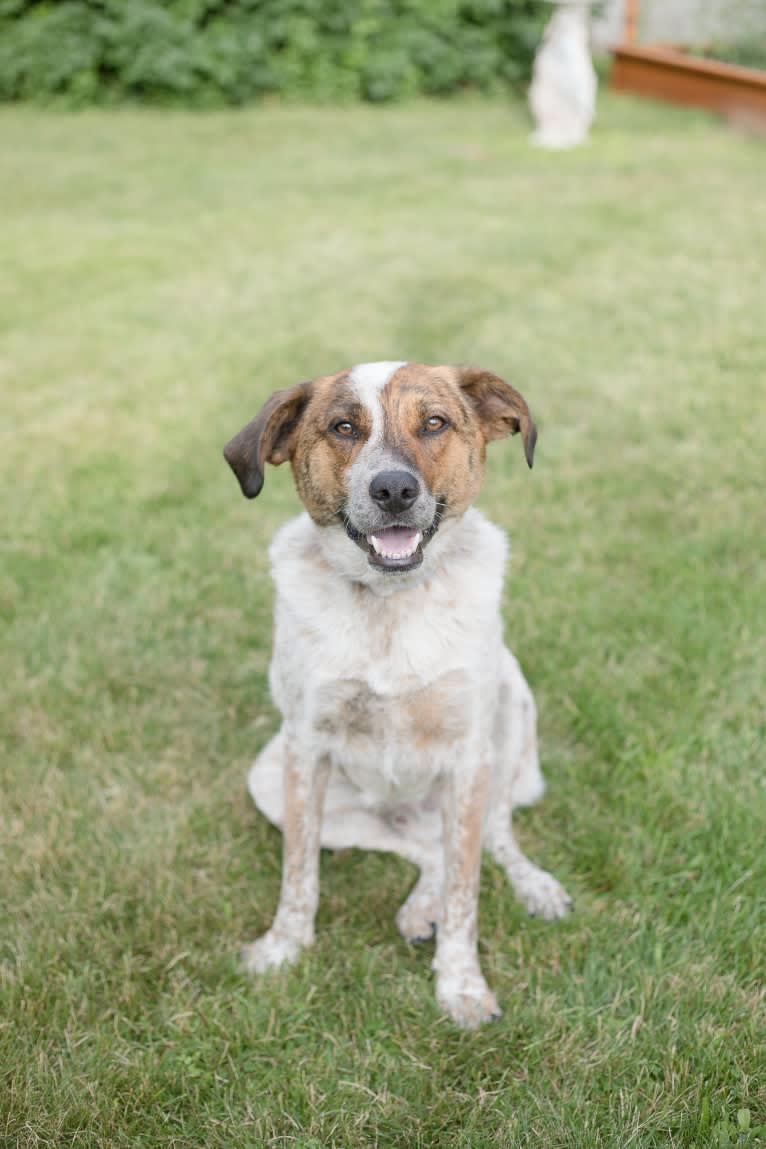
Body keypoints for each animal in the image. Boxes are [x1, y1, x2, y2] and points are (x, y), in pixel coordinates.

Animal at [225, 360, 571, 1034]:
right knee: (425, 848)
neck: (389, 604)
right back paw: (417, 910)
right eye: (343, 427)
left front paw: (461, 987)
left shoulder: (469, 757)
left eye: (434, 423)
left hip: (512, 710)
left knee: (491, 837)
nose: (393, 491)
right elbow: (298, 875)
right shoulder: (305, 751)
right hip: (273, 779)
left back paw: (533, 887)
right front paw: (282, 950)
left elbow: (467, 891)